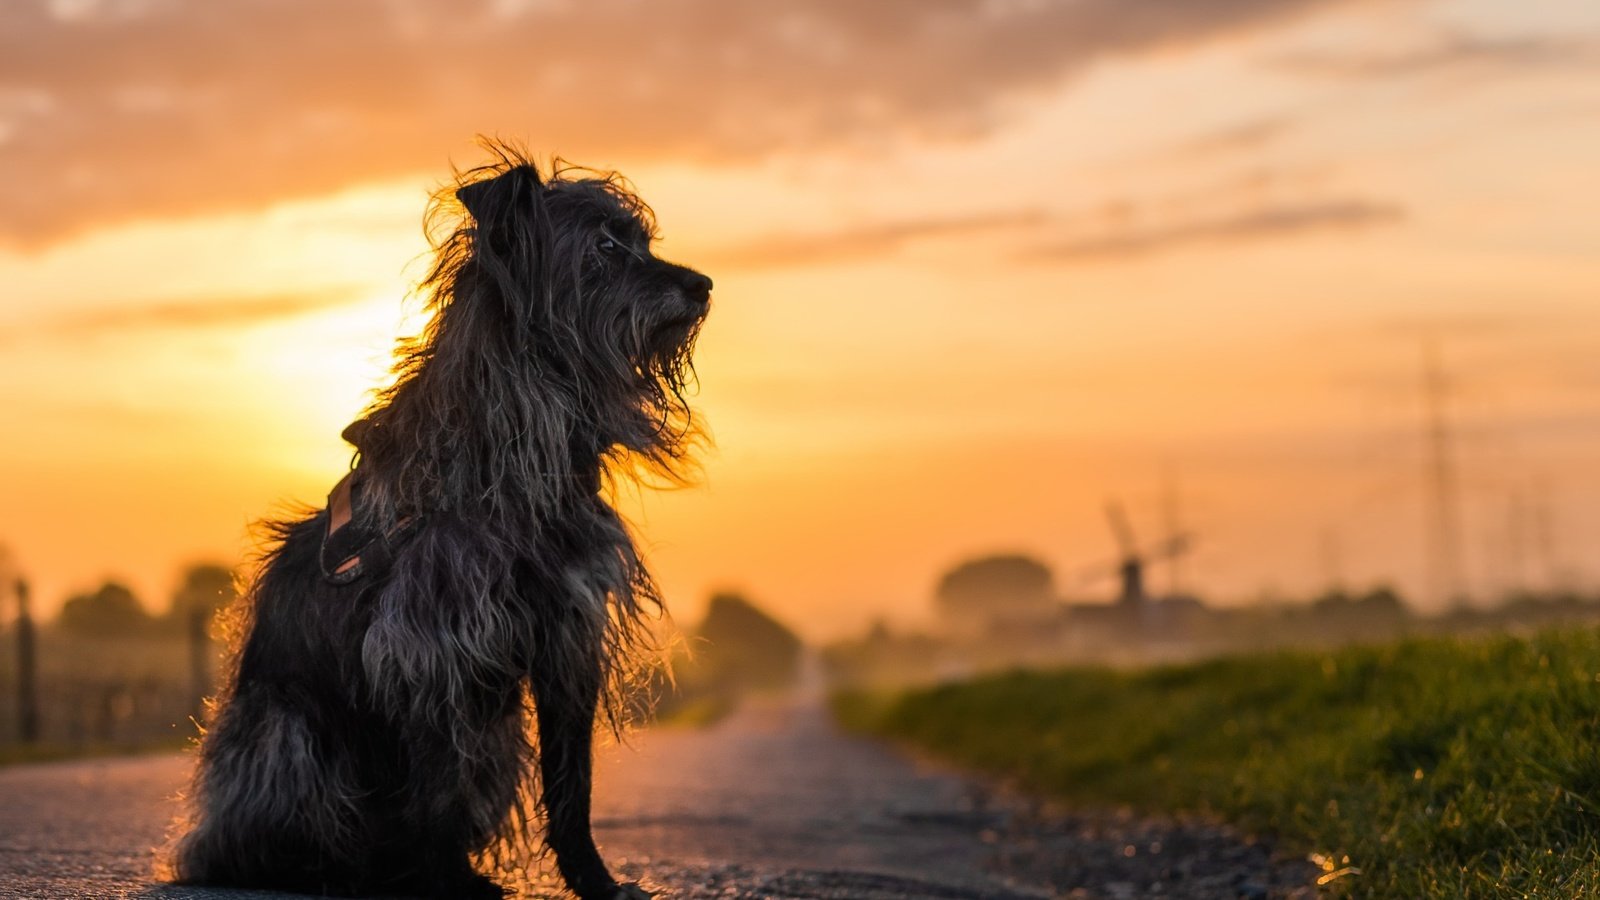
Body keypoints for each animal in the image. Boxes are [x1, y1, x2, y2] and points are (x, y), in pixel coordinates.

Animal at [165, 143, 710, 890]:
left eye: (642, 242)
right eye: (604, 247)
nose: (703, 285)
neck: (513, 463)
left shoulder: (567, 638)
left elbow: (571, 786)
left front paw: (593, 882)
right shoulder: (432, 645)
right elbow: (438, 780)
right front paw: (445, 874)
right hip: (290, 731)